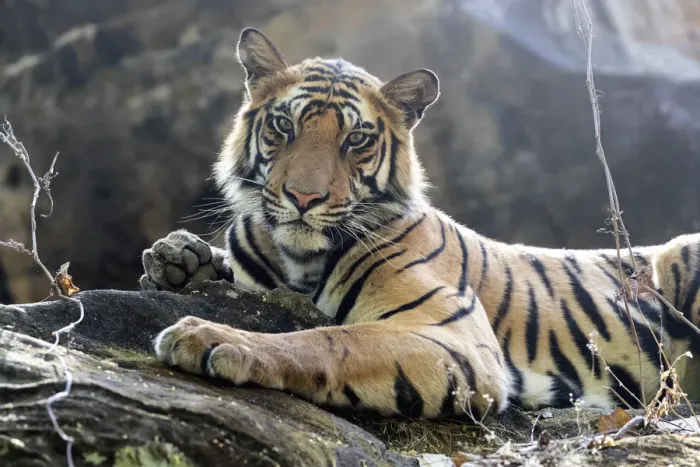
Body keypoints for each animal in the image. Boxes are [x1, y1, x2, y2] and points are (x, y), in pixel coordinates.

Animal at [140, 27, 700, 420]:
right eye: (284, 125)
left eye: (356, 139)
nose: (304, 197)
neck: (296, 259)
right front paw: (176, 257)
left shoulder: (453, 335)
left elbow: (330, 339)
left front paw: (213, 337)